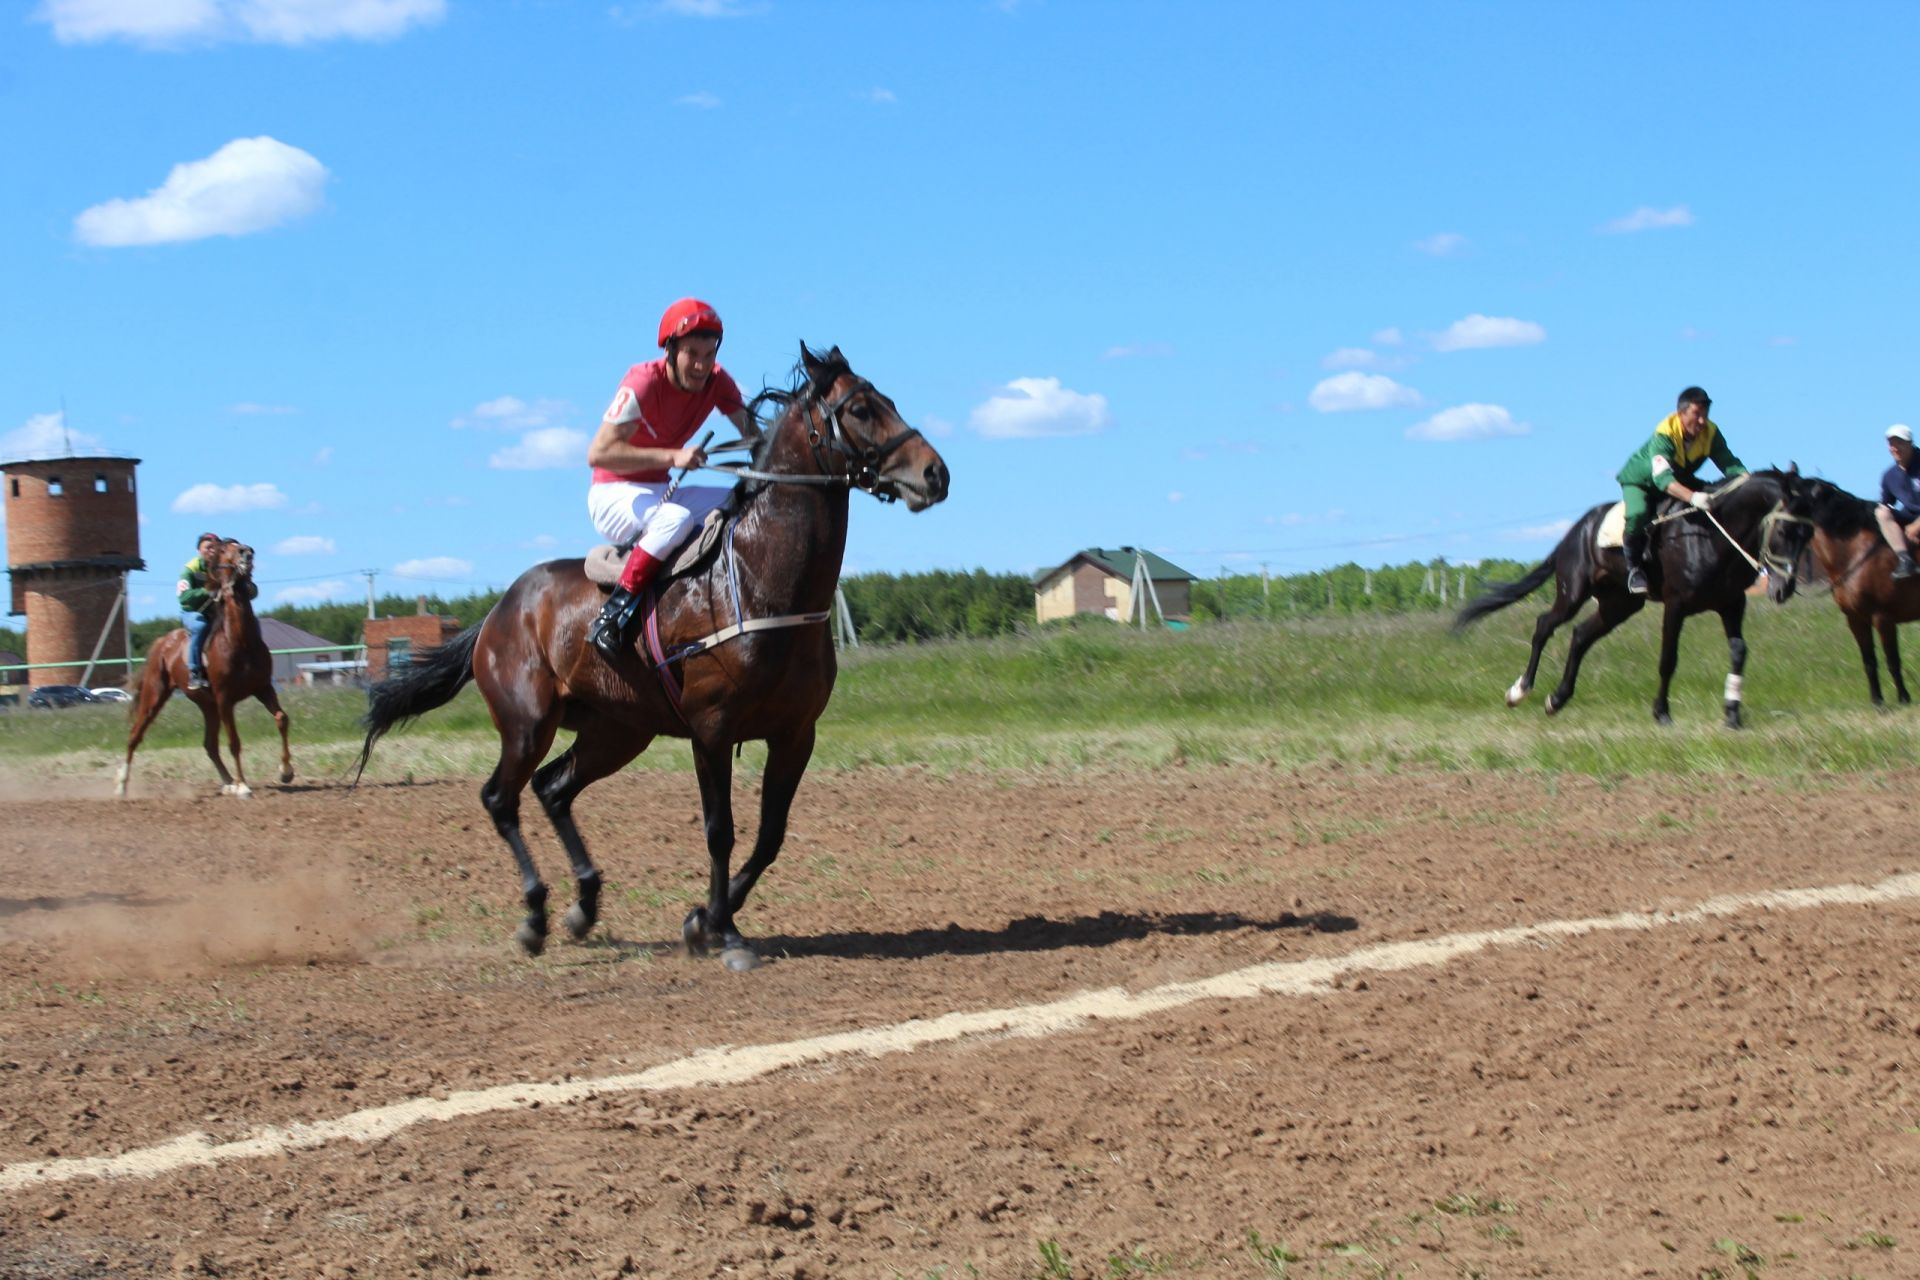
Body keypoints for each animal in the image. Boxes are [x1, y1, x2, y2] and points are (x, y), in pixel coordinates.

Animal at [117, 541, 291, 802]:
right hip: (155, 695)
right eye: (225, 549)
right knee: (134, 735)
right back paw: (121, 785)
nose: (247, 552)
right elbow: (234, 742)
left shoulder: (262, 688)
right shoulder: (224, 698)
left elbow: (282, 719)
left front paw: (286, 771)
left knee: (209, 744)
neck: (240, 642)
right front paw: (243, 786)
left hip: (208, 706)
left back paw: (228, 782)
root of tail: (161, 643)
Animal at [355, 345, 952, 967]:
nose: (936, 473)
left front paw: (704, 918)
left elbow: (770, 836)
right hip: (527, 724)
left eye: (888, 399)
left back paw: (583, 905)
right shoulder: (711, 730)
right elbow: (720, 831)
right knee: (500, 798)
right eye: (859, 408)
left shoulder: (796, 733)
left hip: (618, 730)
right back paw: (536, 915)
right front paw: (722, 930)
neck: (760, 577)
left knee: (553, 788)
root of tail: (497, 612)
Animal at [1451, 470, 1812, 729]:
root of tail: (1576, 530)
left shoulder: (1732, 604)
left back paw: (1557, 699)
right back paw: (1520, 690)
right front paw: (1662, 713)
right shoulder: (1676, 606)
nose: (1784, 589)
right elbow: (1668, 660)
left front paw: (1733, 713)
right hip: (1573, 592)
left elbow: (1738, 651)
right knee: (1544, 626)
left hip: (1619, 605)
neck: (1712, 535)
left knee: (1580, 636)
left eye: (1808, 534)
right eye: (1783, 532)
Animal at [1797, 475, 1920, 706]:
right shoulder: (1855, 619)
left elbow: (1892, 660)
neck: (1856, 555)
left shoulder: (1883, 618)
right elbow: (1869, 661)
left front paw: (1903, 698)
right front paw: (1877, 701)